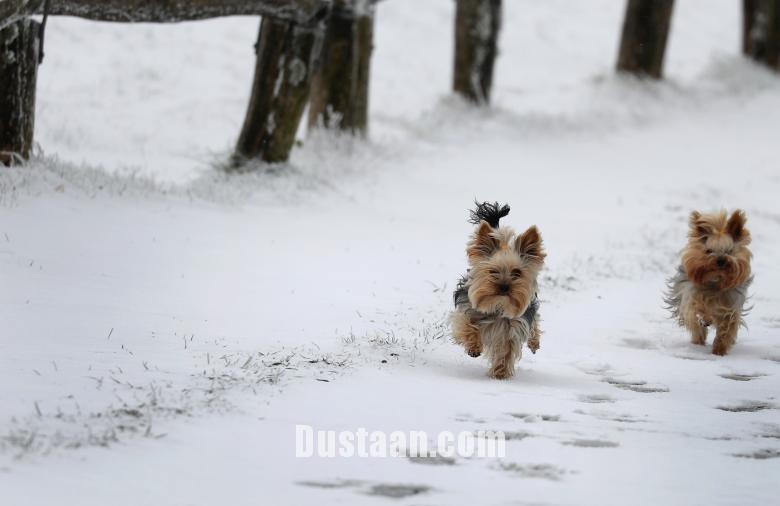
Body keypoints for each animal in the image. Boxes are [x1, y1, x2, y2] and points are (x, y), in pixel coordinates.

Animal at [448, 203, 544, 380]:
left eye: (517, 273)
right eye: (492, 271)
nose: (504, 287)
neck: (499, 304)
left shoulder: (513, 329)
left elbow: (506, 352)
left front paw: (500, 374)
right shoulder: (466, 310)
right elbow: (466, 324)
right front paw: (474, 347)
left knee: (534, 325)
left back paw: (534, 343)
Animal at [668, 210, 752, 356]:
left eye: (729, 251)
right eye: (708, 251)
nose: (721, 260)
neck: (715, 281)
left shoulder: (731, 307)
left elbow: (727, 327)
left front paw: (719, 349)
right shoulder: (691, 298)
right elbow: (697, 310)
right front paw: (705, 319)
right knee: (697, 328)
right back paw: (698, 340)